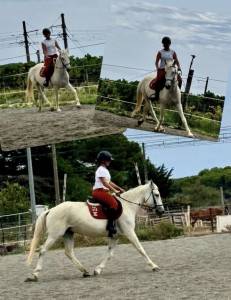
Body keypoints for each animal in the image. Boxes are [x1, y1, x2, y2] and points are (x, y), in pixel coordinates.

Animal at [26, 180, 164, 282]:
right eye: (157, 195)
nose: (161, 211)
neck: (127, 206)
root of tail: (51, 210)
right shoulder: (130, 233)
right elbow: (141, 249)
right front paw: (154, 266)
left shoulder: (115, 237)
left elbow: (109, 254)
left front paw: (97, 270)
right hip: (55, 235)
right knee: (43, 250)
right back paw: (35, 274)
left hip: (68, 234)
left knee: (69, 252)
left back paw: (85, 271)